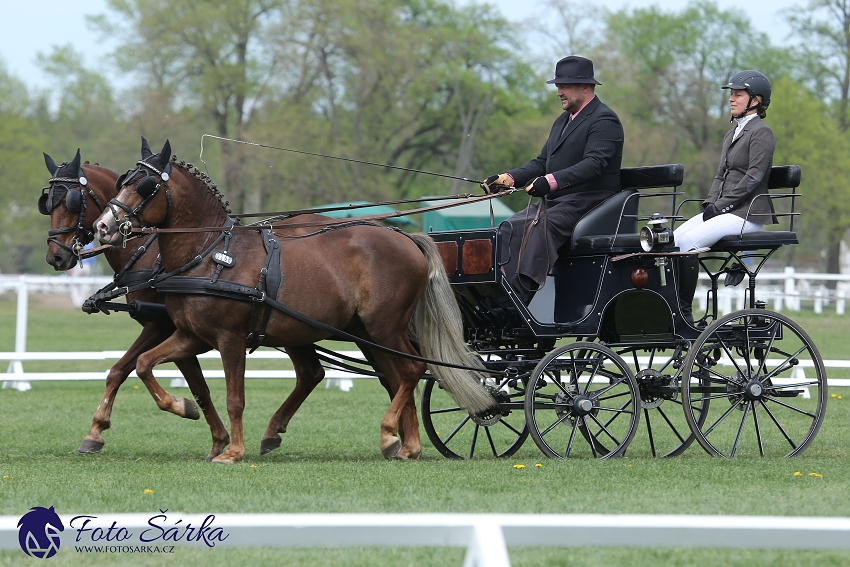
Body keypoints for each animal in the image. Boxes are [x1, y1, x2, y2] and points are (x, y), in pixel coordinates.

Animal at [40, 148, 229, 462]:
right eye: (47, 203)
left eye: (71, 201)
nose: (55, 256)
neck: (148, 253)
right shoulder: (177, 331)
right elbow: (124, 372)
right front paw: (95, 432)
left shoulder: (162, 325)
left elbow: (142, 370)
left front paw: (186, 410)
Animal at [95, 139, 494, 466]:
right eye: (123, 180)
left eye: (144, 185)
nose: (102, 227)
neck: (209, 253)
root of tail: (407, 238)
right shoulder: (190, 335)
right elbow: (144, 365)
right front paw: (182, 407)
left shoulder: (230, 338)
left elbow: (235, 398)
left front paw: (232, 452)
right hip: (365, 333)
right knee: (393, 377)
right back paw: (406, 445)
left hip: (384, 327)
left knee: (410, 371)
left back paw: (389, 434)